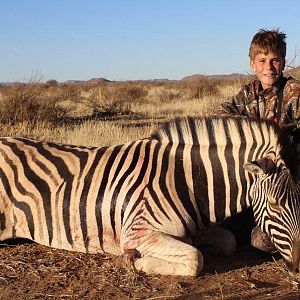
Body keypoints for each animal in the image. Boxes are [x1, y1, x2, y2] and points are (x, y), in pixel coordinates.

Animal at [0, 116, 298, 276]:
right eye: (274, 204)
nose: (297, 266)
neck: (187, 181)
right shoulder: (138, 232)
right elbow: (194, 259)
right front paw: (130, 260)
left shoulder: (197, 226)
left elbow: (229, 241)